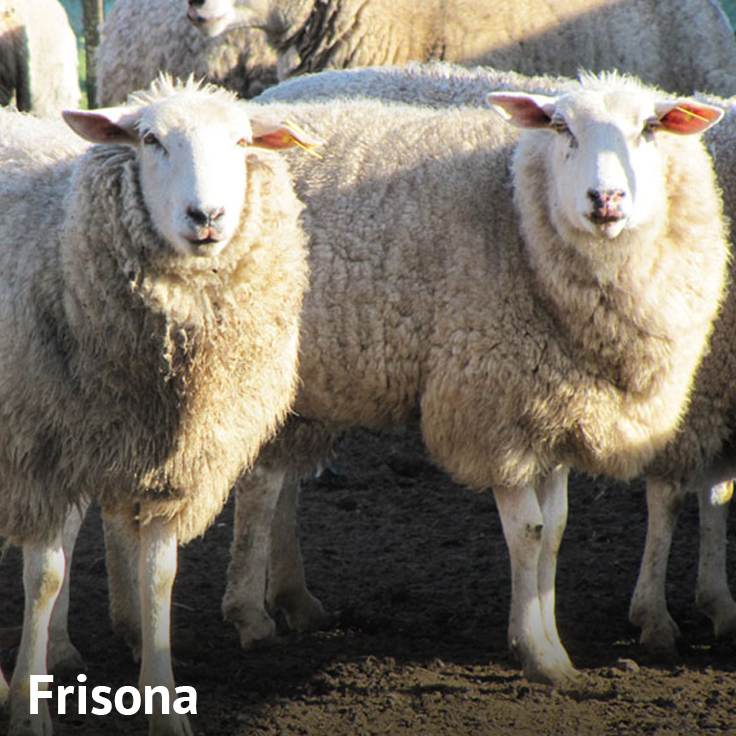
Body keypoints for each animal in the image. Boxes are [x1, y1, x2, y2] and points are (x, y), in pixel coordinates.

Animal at [0, 76, 313, 736]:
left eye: (242, 141)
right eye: (150, 140)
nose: (207, 217)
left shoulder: (171, 462)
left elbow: (159, 576)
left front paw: (164, 705)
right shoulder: (38, 452)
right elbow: (44, 577)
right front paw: (28, 710)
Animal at [169, 73, 729, 686]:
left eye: (650, 128)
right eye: (560, 127)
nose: (605, 200)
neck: (516, 214)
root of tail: (265, 104)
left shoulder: (552, 404)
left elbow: (557, 530)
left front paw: (548, 640)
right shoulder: (493, 408)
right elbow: (530, 533)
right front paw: (539, 652)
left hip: (298, 382)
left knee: (272, 479)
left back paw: (289, 602)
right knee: (259, 483)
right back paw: (248, 613)